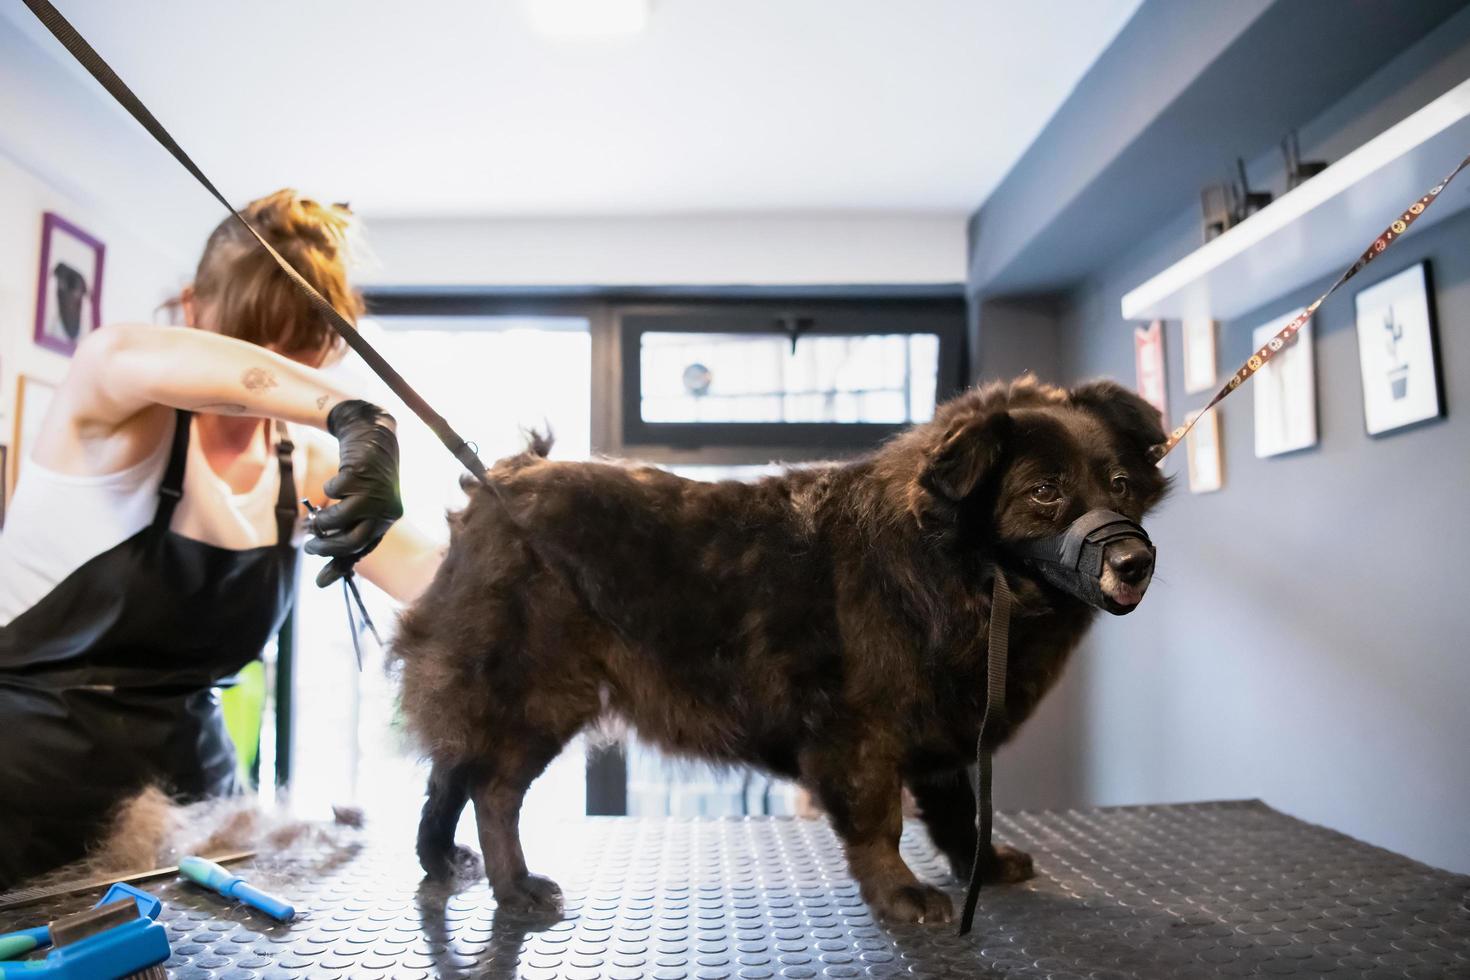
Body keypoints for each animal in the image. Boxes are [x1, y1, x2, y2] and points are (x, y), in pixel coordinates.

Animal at [393, 371, 1170, 922]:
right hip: (539, 696)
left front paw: (979, 862)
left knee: (449, 776)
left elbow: (957, 811)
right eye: (1044, 492)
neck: (951, 568)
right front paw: (899, 893)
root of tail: (501, 482)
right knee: (490, 790)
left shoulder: (949, 724)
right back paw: (515, 885)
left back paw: (442, 861)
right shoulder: (859, 732)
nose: (1136, 562)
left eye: (1120, 484)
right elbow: (880, 821)